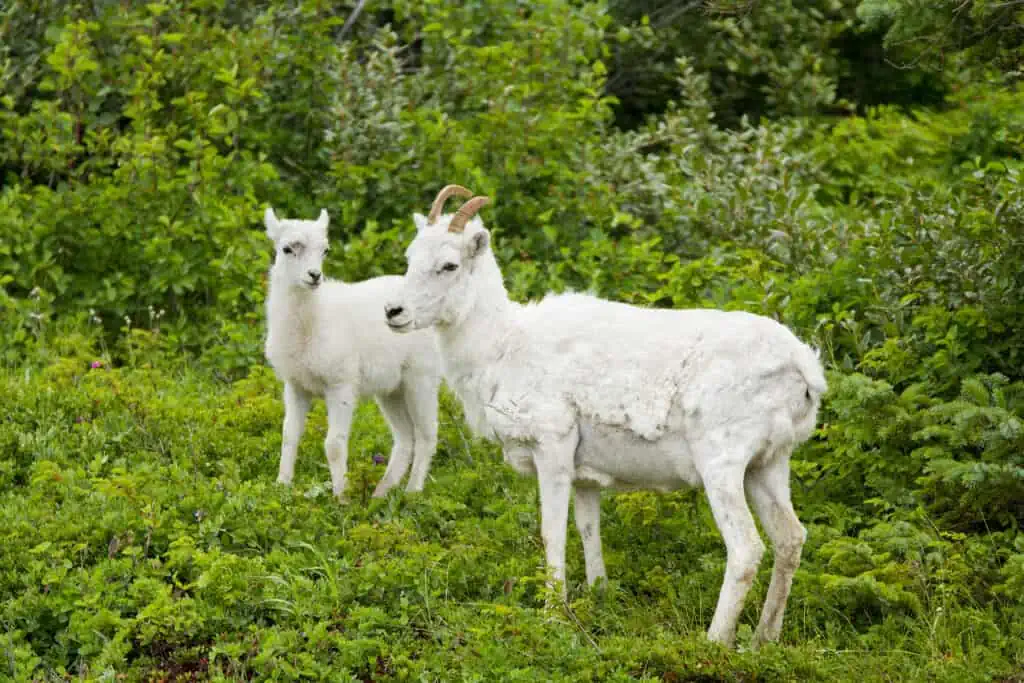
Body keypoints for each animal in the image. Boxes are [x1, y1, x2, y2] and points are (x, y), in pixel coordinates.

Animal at [264, 205, 440, 499]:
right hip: (391, 389)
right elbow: (289, 435)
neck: (312, 321)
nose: (314, 276)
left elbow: (334, 444)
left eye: (325, 250)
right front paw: (282, 486)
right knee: (405, 438)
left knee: (427, 435)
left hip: (421, 377)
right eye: (287, 248)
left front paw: (341, 498)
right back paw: (381, 493)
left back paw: (412, 493)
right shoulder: (296, 385)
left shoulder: (341, 384)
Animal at [380, 185, 827, 647]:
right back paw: (763, 639)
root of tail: (803, 367)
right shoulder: (586, 477)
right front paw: (599, 597)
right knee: (790, 538)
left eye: (449, 265)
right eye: (410, 256)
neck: (503, 347)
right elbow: (587, 530)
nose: (393, 312)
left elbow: (552, 533)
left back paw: (715, 640)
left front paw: (552, 615)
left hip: (722, 466)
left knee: (746, 549)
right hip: (767, 466)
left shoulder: (552, 450)